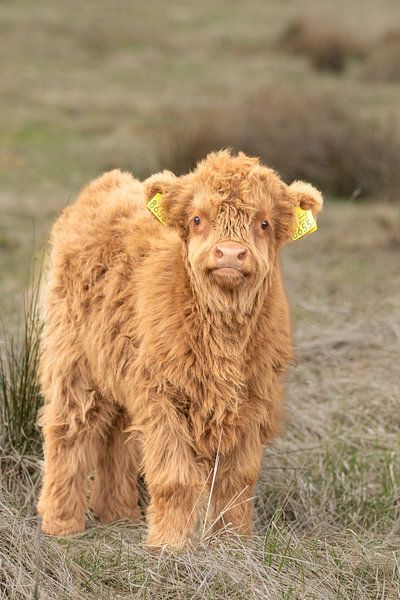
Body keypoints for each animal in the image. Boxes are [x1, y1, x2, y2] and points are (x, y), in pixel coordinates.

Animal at [38, 151, 322, 548]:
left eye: (263, 222)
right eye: (197, 219)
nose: (230, 254)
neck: (224, 336)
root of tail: (108, 183)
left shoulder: (254, 398)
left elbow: (238, 479)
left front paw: (233, 542)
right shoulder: (163, 396)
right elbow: (175, 478)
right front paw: (169, 546)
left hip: (121, 365)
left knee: (116, 438)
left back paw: (119, 514)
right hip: (72, 359)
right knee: (70, 431)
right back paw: (60, 524)